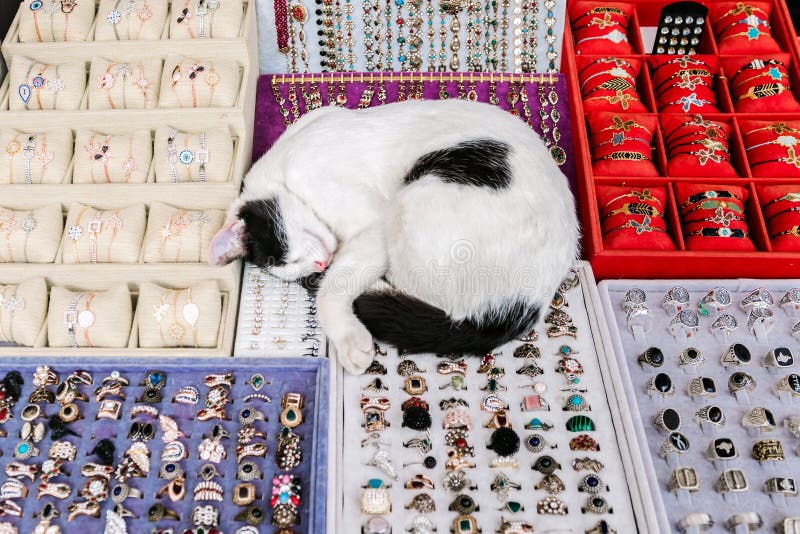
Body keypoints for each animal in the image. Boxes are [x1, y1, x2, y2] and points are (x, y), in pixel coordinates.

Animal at [209, 98, 580, 374]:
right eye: (288, 268)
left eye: (284, 258)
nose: (317, 265)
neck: (283, 163)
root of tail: (525, 304)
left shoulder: (372, 224)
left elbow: (333, 288)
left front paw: (349, 339)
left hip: (414, 202)